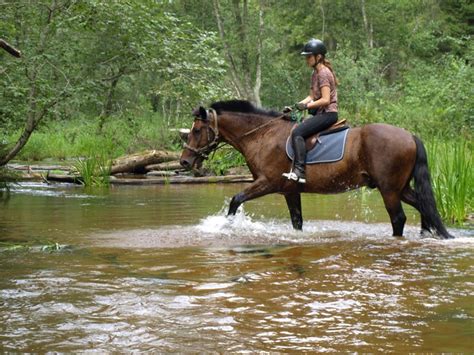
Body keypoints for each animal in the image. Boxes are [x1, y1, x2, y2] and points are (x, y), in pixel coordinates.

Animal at [180, 98, 454, 241]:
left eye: (196, 130)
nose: (184, 162)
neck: (262, 135)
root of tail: (409, 135)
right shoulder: (290, 191)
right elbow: (297, 221)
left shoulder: (267, 183)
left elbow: (235, 200)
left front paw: (226, 227)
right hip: (400, 187)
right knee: (423, 205)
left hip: (389, 189)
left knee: (398, 218)